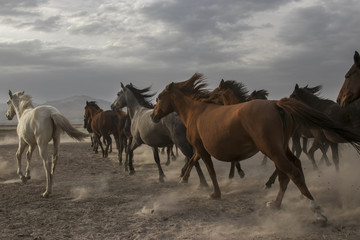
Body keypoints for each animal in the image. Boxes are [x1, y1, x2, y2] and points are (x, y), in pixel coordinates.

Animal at [151, 72, 360, 226]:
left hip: (271, 149)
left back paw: (317, 212)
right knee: (290, 170)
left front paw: (214, 193)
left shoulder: (201, 148)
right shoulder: (200, 148)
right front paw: (185, 178)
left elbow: (209, 169)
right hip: (281, 148)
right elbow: (197, 161)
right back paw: (276, 204)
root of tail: (277, 104)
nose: (153, 115)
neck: (196, 111)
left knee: (291, 172)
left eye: (159, 97)